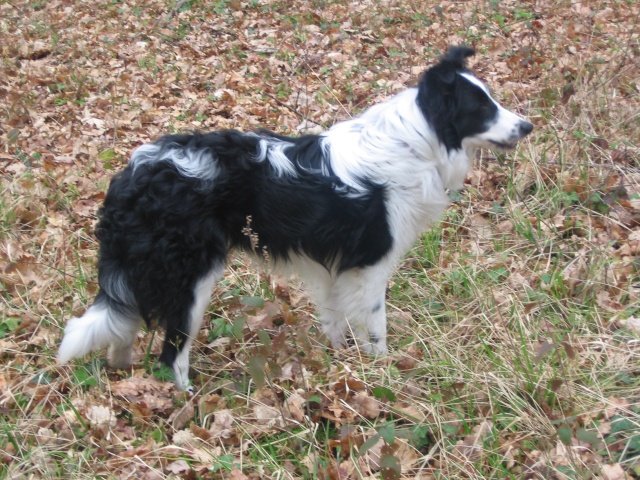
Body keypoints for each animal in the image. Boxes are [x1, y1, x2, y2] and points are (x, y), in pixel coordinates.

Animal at [58, 47, 528, 390]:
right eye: (481, 107)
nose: (528, 126)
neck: (414, 143)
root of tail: (132, 175)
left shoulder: (337, 271)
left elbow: (335, 322)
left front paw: (338, 364)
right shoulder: (370, 267)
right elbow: (376, 327)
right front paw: (382, 375)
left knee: (123, 328)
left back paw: (123, 377)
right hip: (190, 282)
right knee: (172, 354)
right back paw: (189, 405)